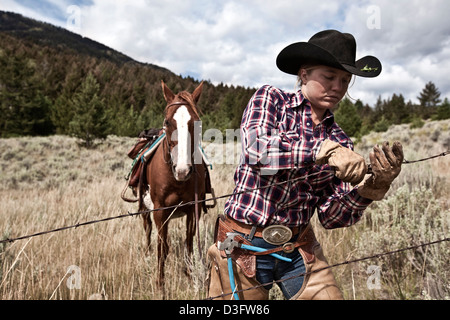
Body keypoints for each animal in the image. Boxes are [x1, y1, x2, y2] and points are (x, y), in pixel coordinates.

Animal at [140, 80, 208, 290]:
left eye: (196, 122)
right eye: (168, 122)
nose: (183, 170)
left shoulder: (192, 209)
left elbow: (189, 244)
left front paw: (189, 276)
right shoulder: (159, 211)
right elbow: (162, 248)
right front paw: (160, 284)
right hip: (145, 209)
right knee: (148, 231)